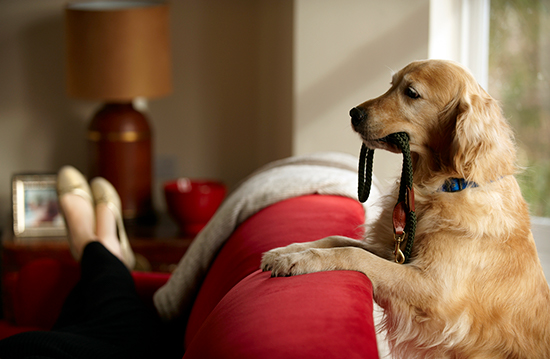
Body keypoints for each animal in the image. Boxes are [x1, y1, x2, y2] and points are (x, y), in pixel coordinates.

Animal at [262, 60, 550, 358]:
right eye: (391, 85)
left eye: (411, 93)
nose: (354, 113)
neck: (440, 187)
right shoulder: (397, 253)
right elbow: (338, 239)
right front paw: (286, 251)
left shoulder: (434, 289)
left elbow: (353, 254)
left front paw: (299, 260)